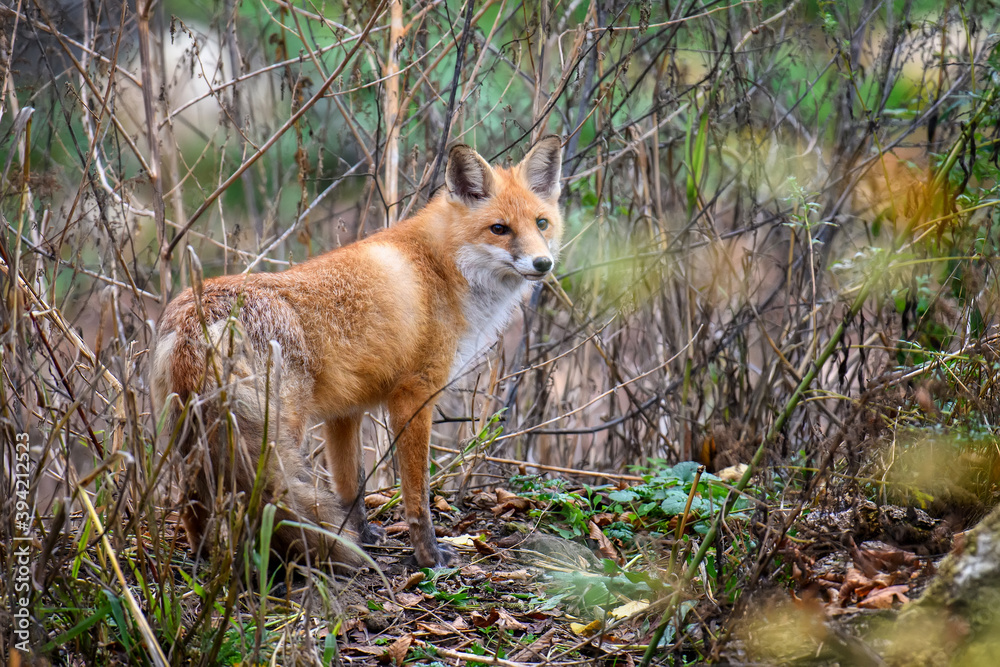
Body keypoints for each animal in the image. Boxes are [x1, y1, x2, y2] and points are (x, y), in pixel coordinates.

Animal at [148, 136, 564, 568]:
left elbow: (352, 487)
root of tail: (198, 315)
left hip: (190, 434)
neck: (442, 267)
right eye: (499, 229)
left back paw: (202, 558)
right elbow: (417, 495)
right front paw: (428, 555)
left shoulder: (345, 411)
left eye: (541, 223)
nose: (543, 263)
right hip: (281, 428)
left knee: (191, 502)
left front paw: (361, 536)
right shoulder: (413, 397)